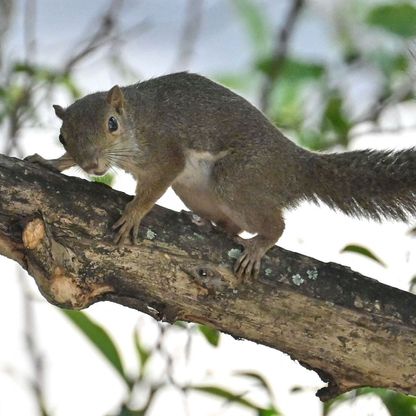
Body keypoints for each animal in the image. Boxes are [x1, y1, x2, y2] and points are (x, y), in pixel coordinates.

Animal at [25, 72, 416, 280]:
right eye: (62, 136)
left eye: (111, 124)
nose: (92, 165)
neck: (136, 122)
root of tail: (295, 165)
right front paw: (49, 162)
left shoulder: (166, 153)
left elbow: (153, 188)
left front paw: (134, 213)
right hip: (196, 191)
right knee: (232, 225)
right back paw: (208, 223)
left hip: (237, 179)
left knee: (275, 224)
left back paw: (258, 244)